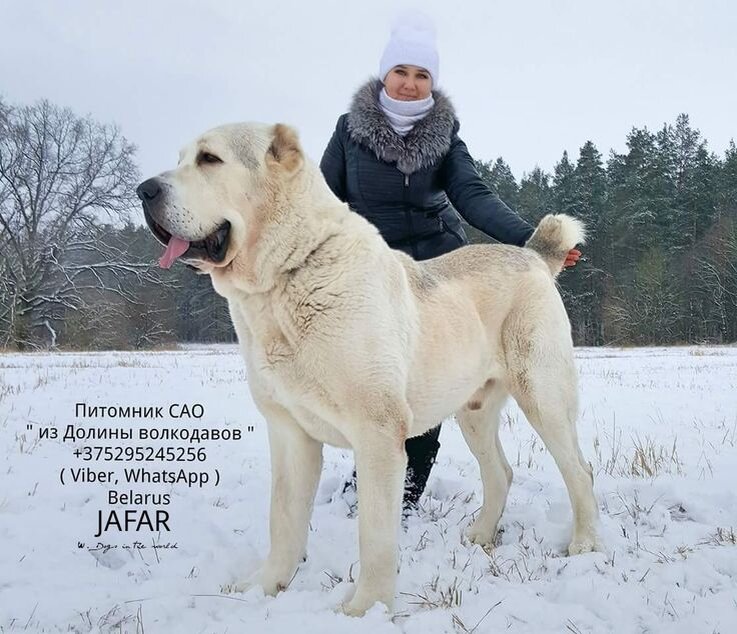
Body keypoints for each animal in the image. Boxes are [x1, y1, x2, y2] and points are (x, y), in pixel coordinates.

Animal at [137, 122, 600, 612]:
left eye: (210, 159)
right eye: (182, 158)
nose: (144, 190)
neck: (287, 274)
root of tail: (532, 256)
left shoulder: (377, 433)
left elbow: (375, 534)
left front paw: (366, 609)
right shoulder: (289, 433)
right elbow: (283, 520)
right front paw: (264, 587)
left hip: (544, 397)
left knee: (579, 471)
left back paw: (585, 544)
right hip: (473, 412)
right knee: (501, 472)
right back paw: (479, 535)